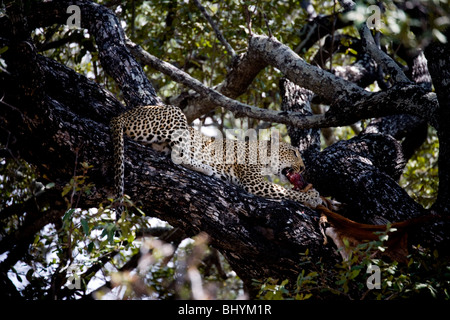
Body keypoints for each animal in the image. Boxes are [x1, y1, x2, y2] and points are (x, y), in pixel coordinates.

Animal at [111, 105, 326, 209]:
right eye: (294, 153)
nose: (303, 168)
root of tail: (120, 115)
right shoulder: (254, 183)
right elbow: (287, 192)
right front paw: (313, 197)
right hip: (175, 113)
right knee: (177, 155)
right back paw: (206, 168)